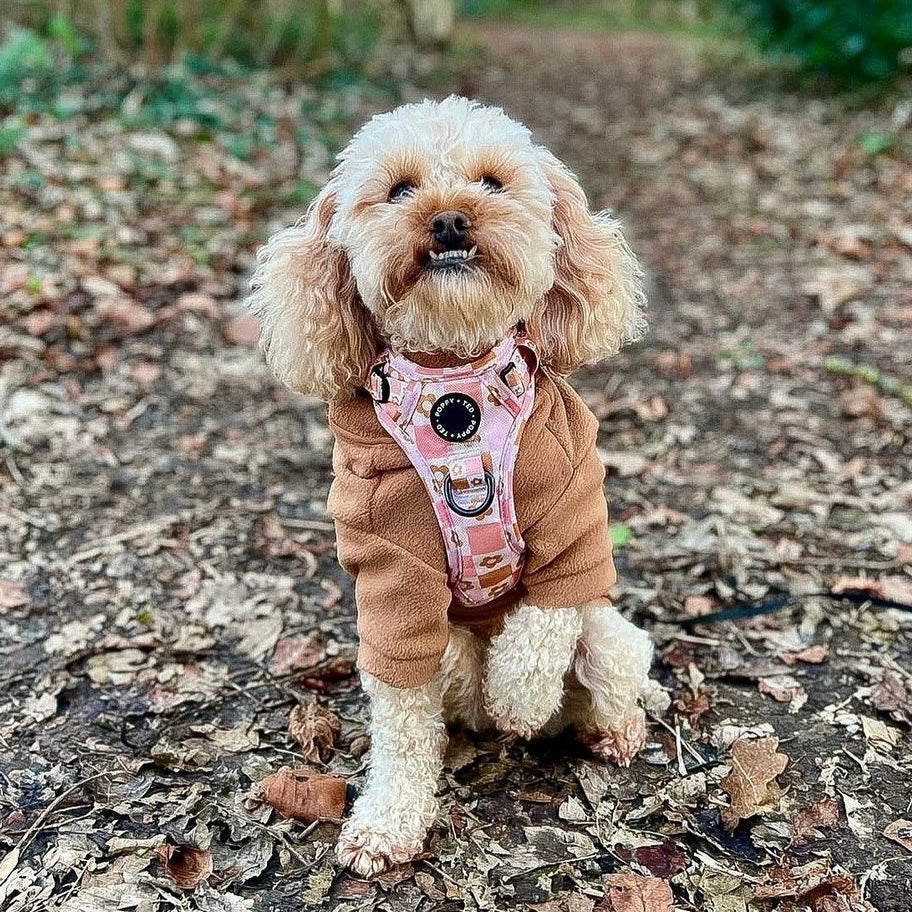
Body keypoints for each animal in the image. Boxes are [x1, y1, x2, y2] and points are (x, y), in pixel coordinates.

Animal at [249, 94, 660, 876]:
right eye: (399, 189)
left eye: (492, 182)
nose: (447, 220)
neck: (453, 388)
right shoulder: (392, 573)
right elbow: (402, 719)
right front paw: (387, 823)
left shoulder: (572, 514)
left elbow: (542, 624)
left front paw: (521, 701)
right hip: (452, 651)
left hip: (607, 633)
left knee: (606, 678)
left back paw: (607, 728)